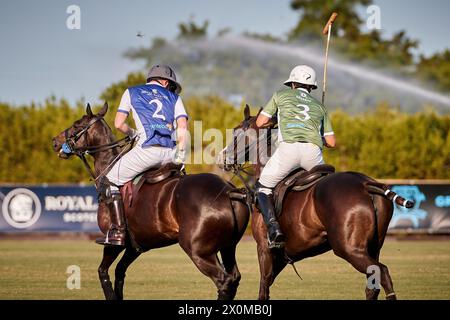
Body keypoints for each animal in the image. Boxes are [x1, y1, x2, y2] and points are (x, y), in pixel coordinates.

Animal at [53, 103, 251, 300]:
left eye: (77, 125)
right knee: (234, 277)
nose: (55, 141)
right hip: (227, 246)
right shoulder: (136, 246)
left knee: (224, 281)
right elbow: (119, 272)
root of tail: (227, 191)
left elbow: (103, 271)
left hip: (198, 250)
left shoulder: (113, 242)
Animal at [220, 105, 414, 300]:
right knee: (373, 284)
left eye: (236, 132)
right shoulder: (285, 254)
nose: (223, 157)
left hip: (348, 248)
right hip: (374, 246)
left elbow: (264, 287)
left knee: (383, 272)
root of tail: (366, 185)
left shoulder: (264, 248)